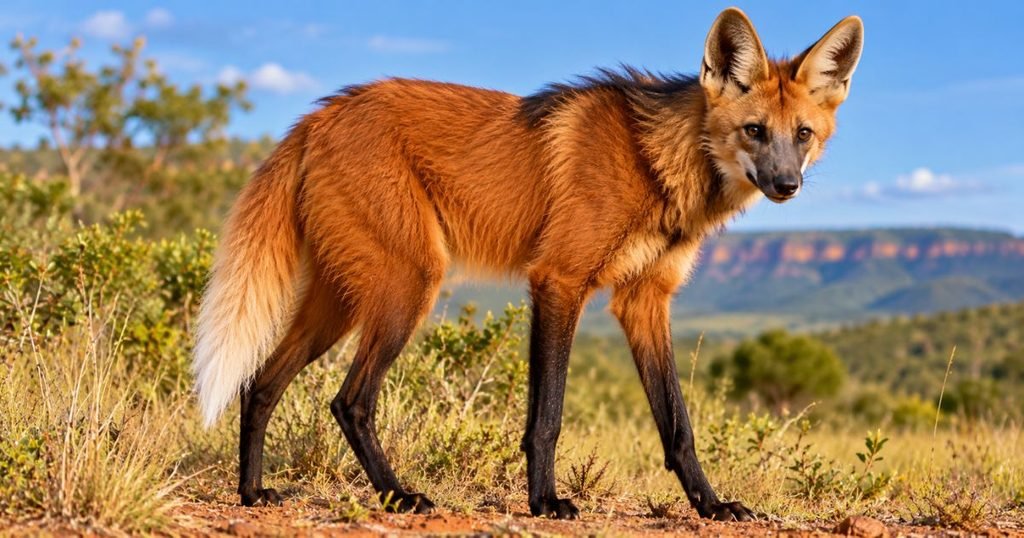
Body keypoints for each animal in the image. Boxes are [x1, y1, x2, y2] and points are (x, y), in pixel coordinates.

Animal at [193, 7, 863, 521]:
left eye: (802, 134)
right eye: (755, 130)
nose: (786, 185)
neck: (655, 162)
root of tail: (317, 114)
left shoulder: (643, 300)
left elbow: (677, 424)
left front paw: (711, 505)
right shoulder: (559, 282)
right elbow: (548, 415)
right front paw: (545, 502)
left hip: (340, 302)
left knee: (259, 384)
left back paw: (252, 492)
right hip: (408, 288)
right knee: (349, 401)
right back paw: (398, 496)